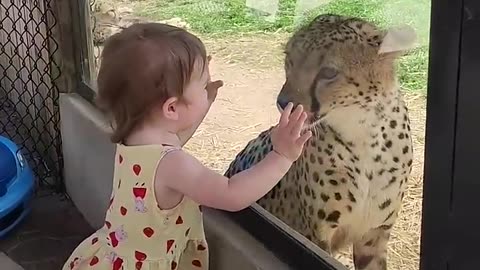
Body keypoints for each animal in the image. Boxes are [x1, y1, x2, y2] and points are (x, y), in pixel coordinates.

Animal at [225, 14, 416, 270]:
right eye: (290, 60)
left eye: (328, 73)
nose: (283, 103)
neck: (364, 134)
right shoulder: (316, 235)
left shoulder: (373, 234)